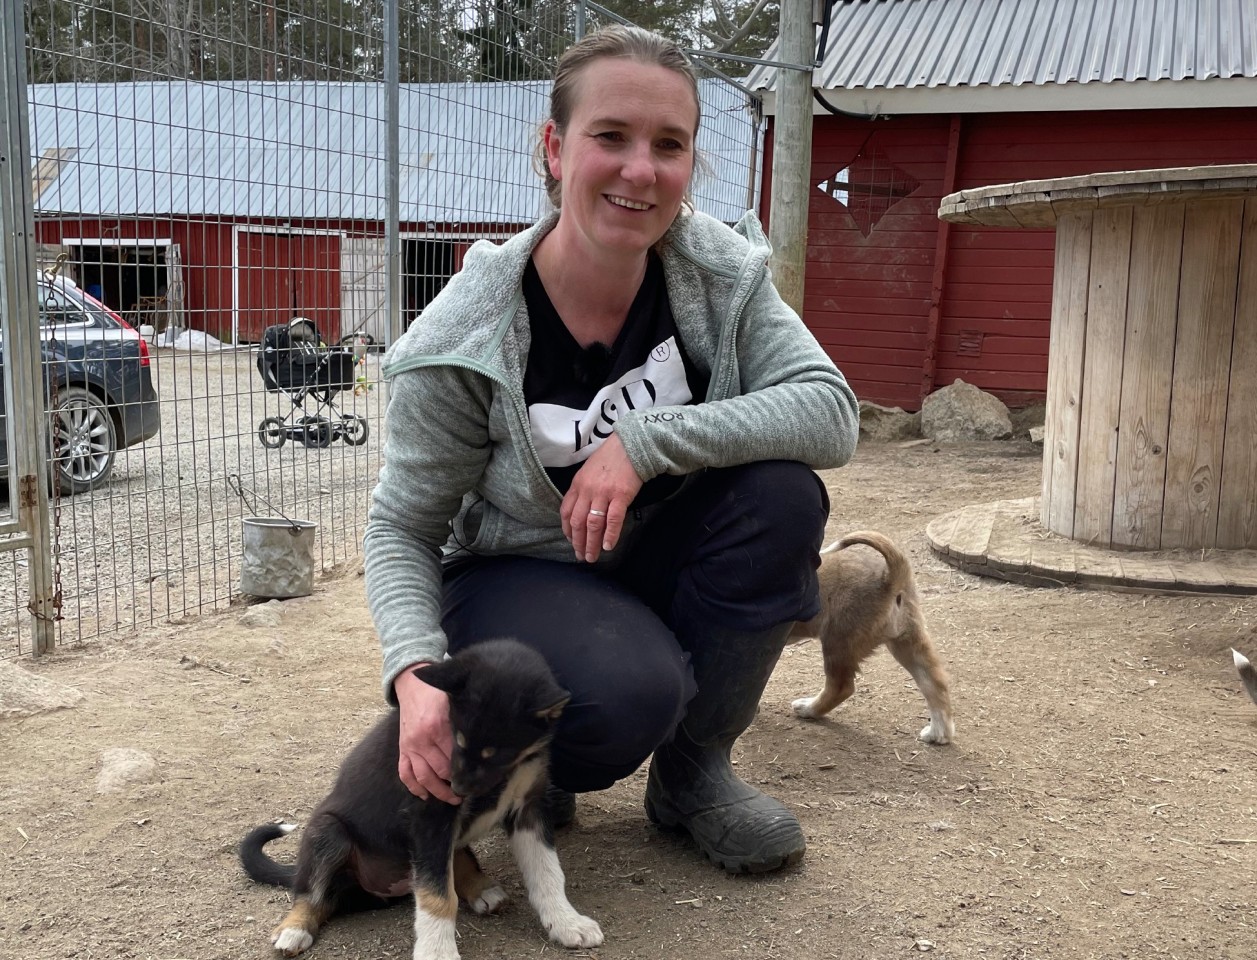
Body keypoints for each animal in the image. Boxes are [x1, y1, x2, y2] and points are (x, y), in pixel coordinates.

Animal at [242, 638, 605, 960]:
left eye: (497, 753)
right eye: (458, 737)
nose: (457, 790)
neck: (511, 770)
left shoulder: (529, 808)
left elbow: (548, 873)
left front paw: (567, 922)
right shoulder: (430, 815)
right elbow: (438, 896)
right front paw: (438, 953)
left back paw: (481, 888)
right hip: (328, 832)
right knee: (311, 894)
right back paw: (294, 929)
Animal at [789, 532, 955, 743]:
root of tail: (889, 577)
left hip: (838, 641)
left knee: (841, 687)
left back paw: (808, 708)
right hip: (907, 642)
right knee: (934, 683)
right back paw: (938, 733)